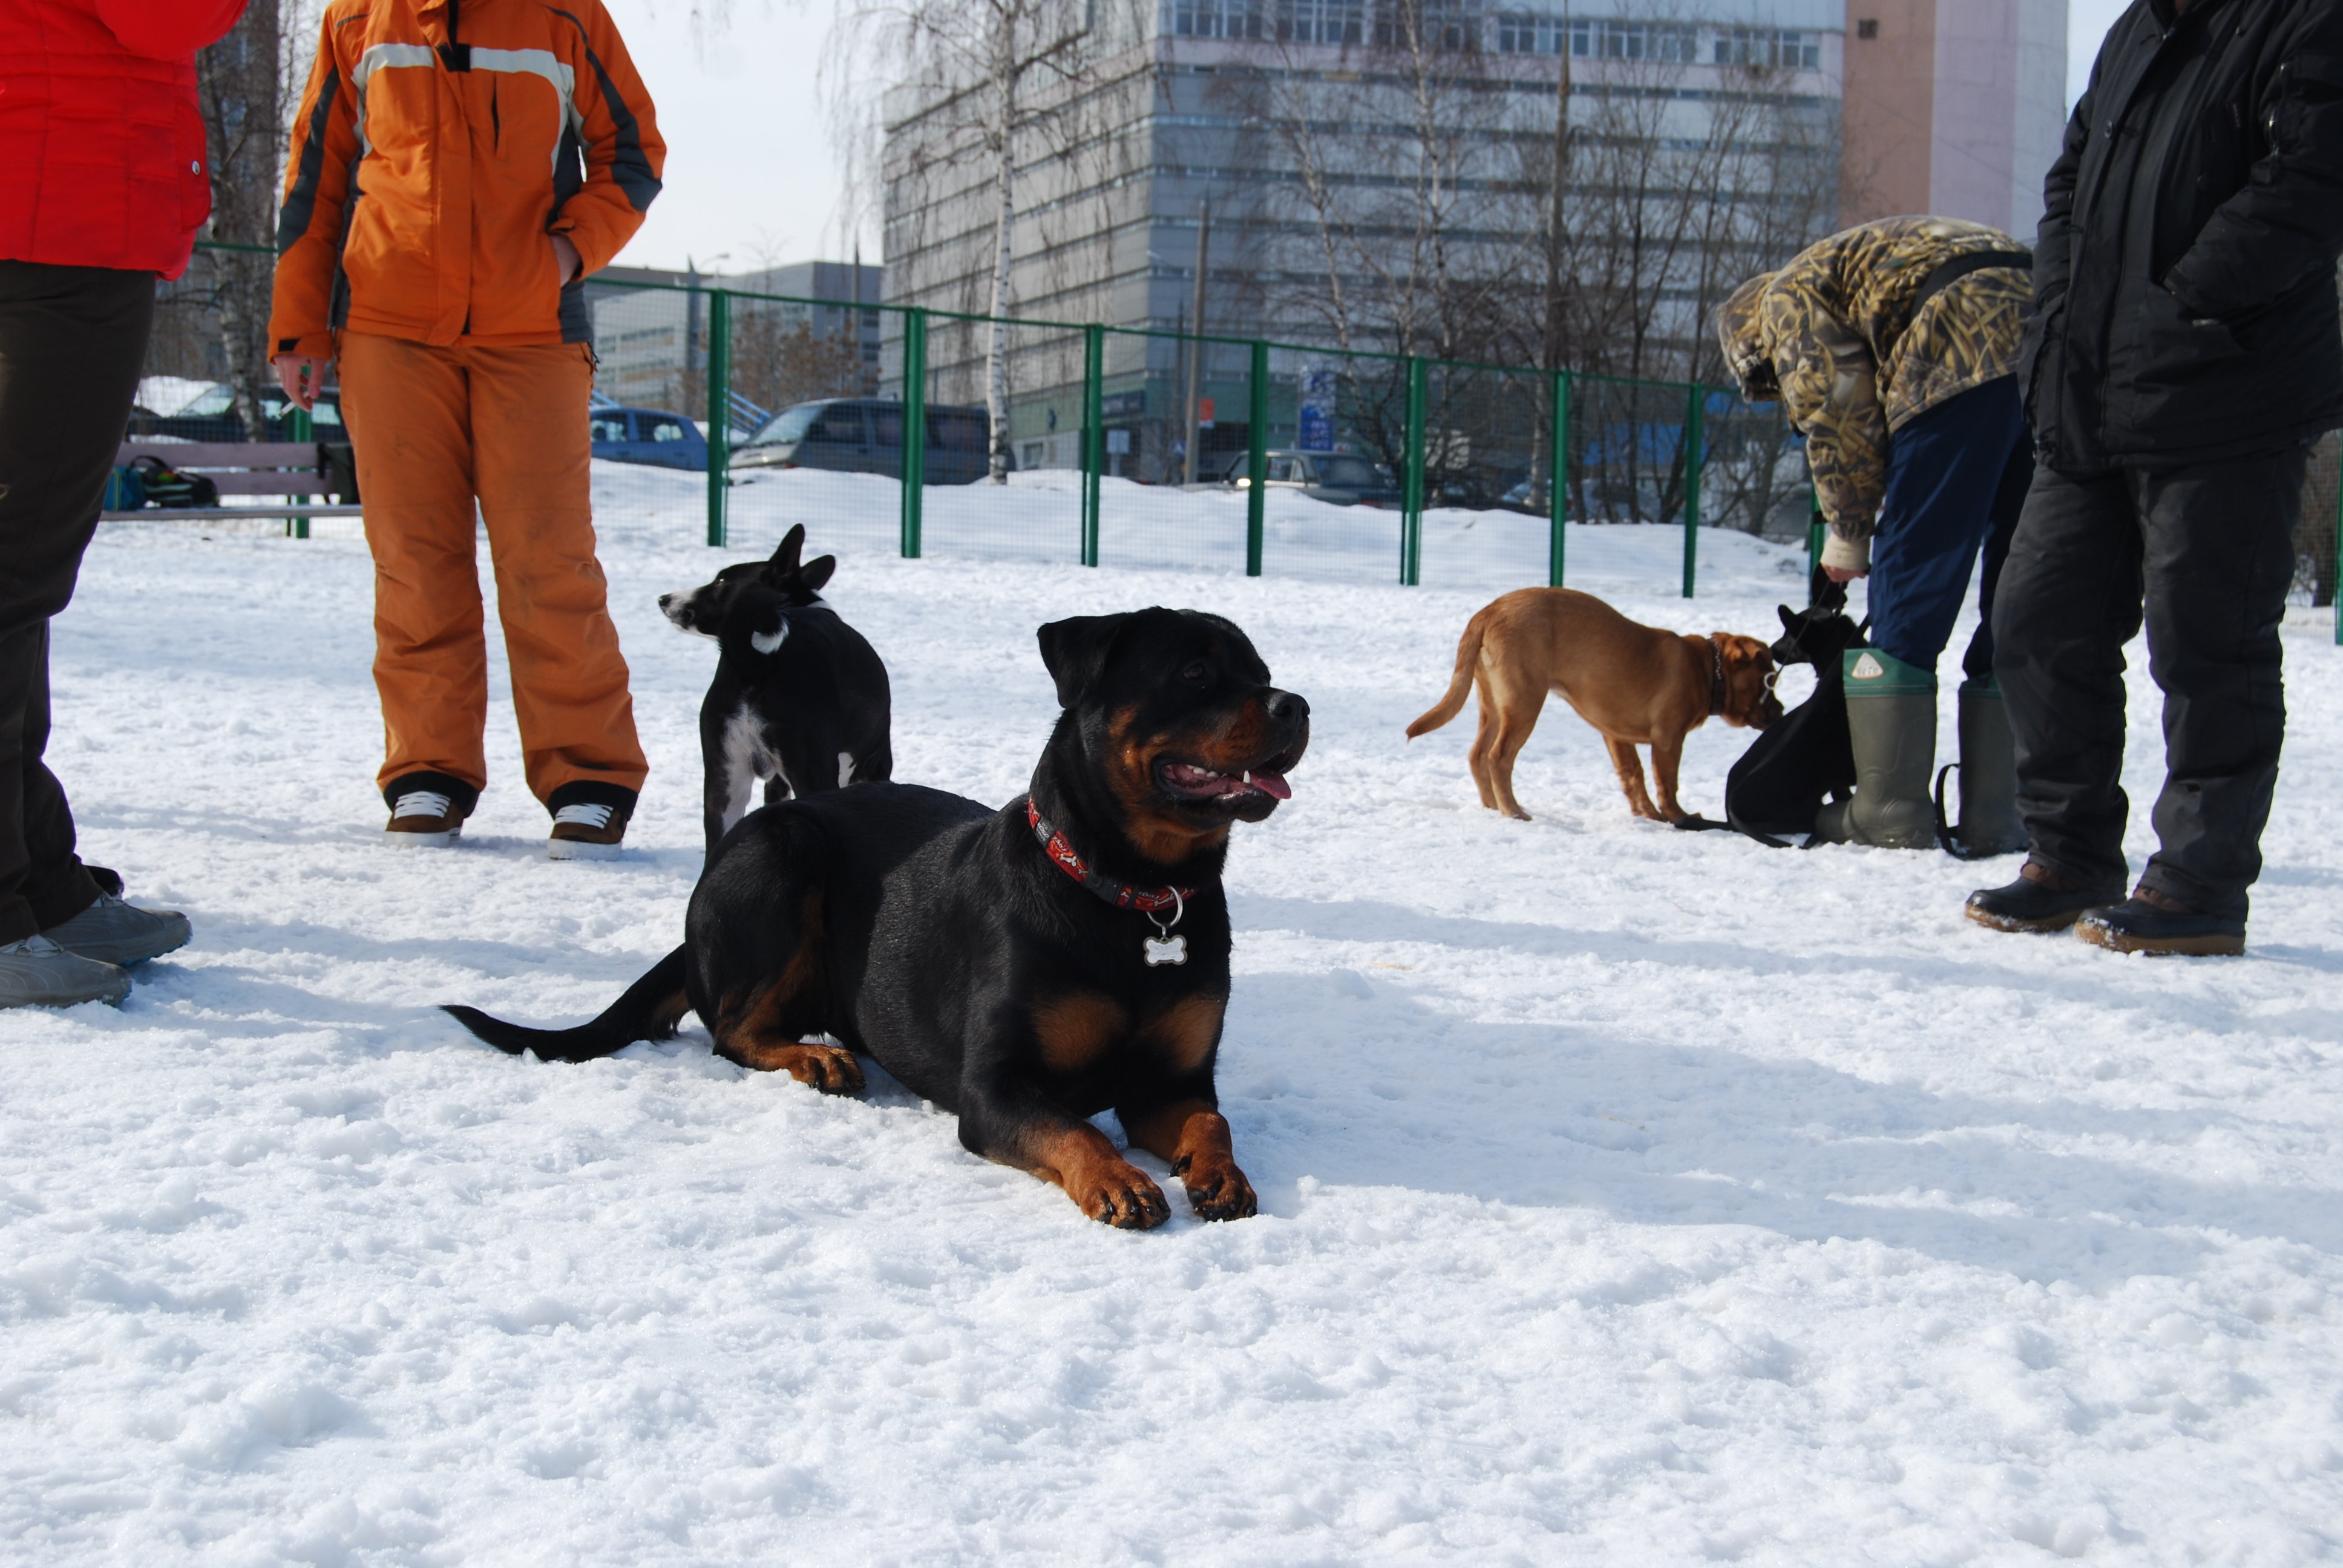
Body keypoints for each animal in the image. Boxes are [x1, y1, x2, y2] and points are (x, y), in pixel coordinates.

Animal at [447, 604, 1312, 1228]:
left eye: (1262, 672)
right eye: (1194, 671)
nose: (1297, 704)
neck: (1136, 895)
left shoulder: (1172, 1081)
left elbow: (1212, 1123)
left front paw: (1220, 1175)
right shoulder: (993, 1086)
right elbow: (1078, 1128)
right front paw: (1120, 1181)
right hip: (781, 850)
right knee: (729, 1028)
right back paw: (816, 1059)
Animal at [660, 524, 895, 858]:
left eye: (721, 581)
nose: (665, 599)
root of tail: (759, 664)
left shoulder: (774, 783)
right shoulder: (876, 764)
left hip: (724, 785)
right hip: (812, 772)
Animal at [1406, 586, 1771, 825]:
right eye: (1770, 679)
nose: (1779, 711)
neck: (1708, 670)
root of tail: (1489, 611)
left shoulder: (1616, 735)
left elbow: (1633, 776)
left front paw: (1647, 816)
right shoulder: (1669, 738)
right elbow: (1667, 783)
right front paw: (1677, 817)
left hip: (1493, 703)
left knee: (1478, 754)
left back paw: (1492, 807)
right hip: (1524, 702)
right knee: (1499, 757)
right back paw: (1514, 811)